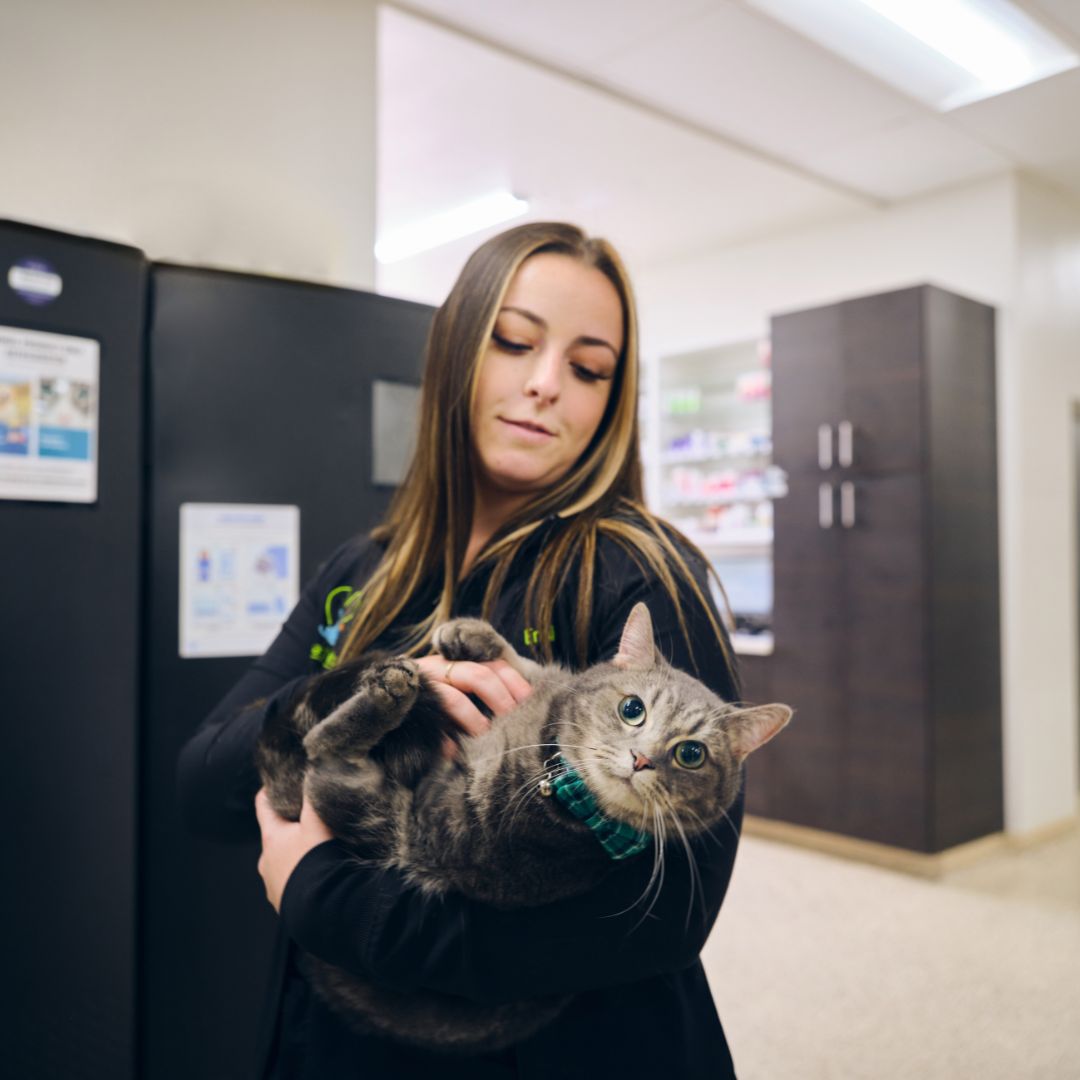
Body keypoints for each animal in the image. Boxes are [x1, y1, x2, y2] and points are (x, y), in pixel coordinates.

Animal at [255, 604, 790, 1049]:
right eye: (632, 708)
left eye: (690, 754)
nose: (641, 759)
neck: (553, 767)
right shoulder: (549, 693)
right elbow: (537, 670)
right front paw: (471, 635)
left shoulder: (423, 826)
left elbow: (329, 748)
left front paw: (392, 690)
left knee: (321, 748)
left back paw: (389, 694)